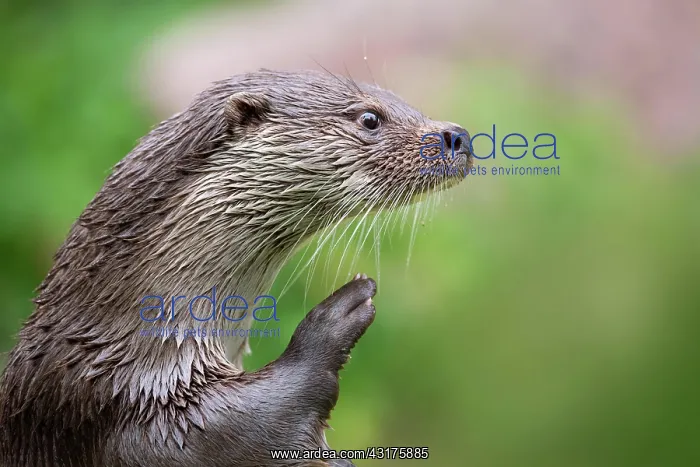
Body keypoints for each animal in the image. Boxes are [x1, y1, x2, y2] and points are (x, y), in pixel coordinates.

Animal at [0, 70, 471, 466]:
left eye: (404, 101)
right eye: (370, 118)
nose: (458, 136)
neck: (118, 350)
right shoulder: (122, 415)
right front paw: (339, 314)